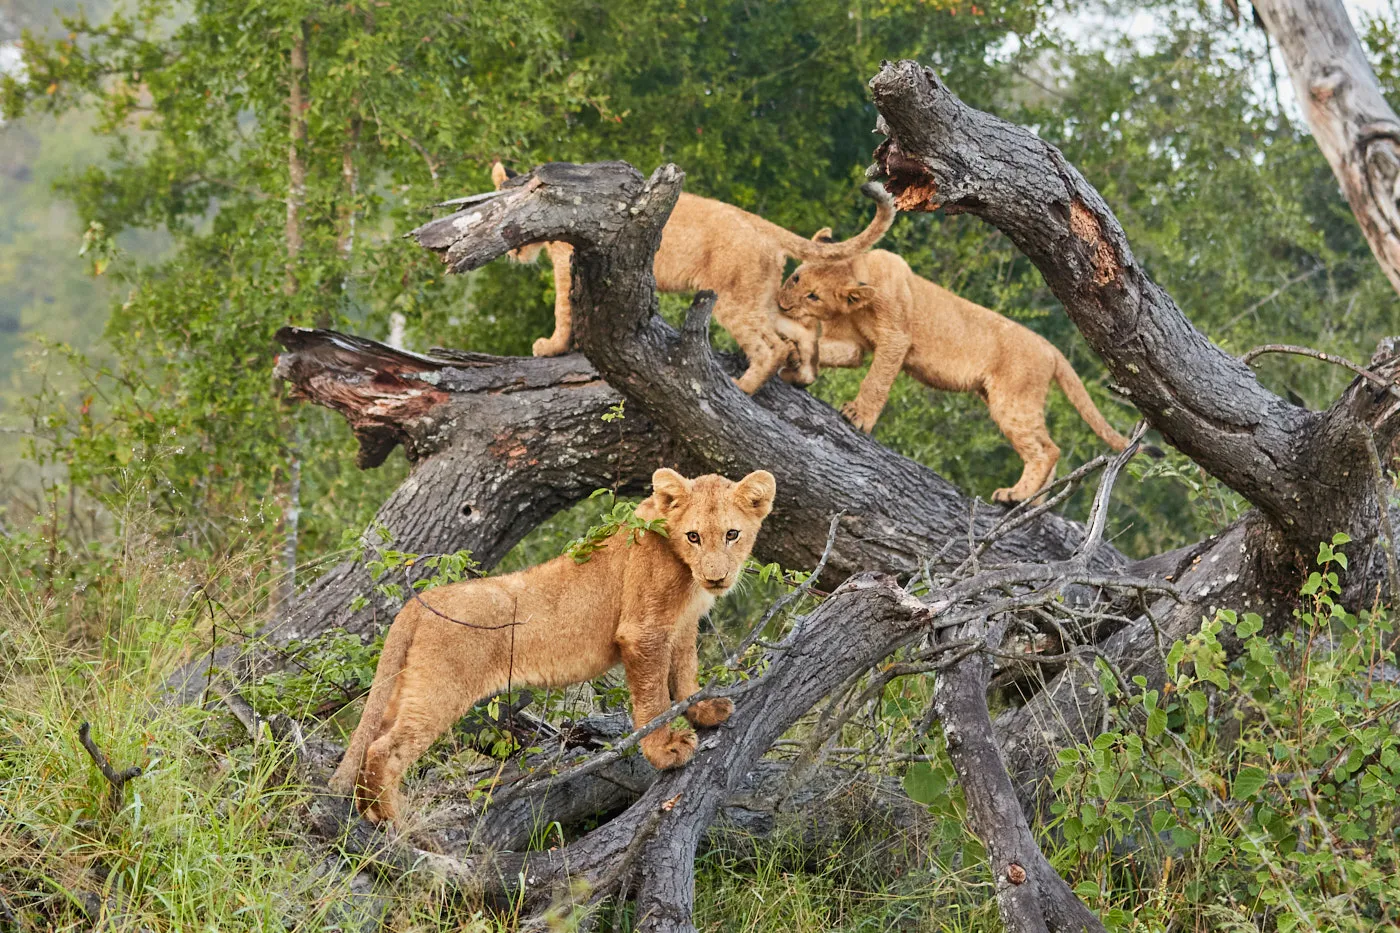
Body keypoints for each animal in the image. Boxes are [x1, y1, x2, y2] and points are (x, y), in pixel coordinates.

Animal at [330, 468, 777, 825]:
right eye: (694, 536)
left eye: (732, 534)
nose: (717, 578)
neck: (686, 573)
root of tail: (418, 604)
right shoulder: (642, 631)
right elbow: (652, 698)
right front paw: (665, 751)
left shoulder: (682, 628)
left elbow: (685, 674)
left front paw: (705, 712)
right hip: (440, 689)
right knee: (384, 749)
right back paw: (394, 823)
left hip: (406, 686)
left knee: (372, 739)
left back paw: (370, 813)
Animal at [491, 161, 895, 393]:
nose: (510, 252)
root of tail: (758, 223)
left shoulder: (566, 260)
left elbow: (562, 308)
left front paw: (553, 346)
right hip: (757, 296)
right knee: (802, 331)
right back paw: (801, 375)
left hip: (732, 299)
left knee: (771, 346)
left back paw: (744, 387)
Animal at [777, 247, 1132, 503]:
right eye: (795, 278)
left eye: (814, 296)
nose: (782, 305)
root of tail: (1051, 349)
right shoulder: (850, 344)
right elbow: (828, 351)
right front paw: (792, 356)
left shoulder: (896, 337)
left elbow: (877, 378)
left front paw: (858, 417)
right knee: (1047, 446)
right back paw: (1032, 503)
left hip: (1012, 398)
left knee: (1048, 450)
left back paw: (1014, 496)